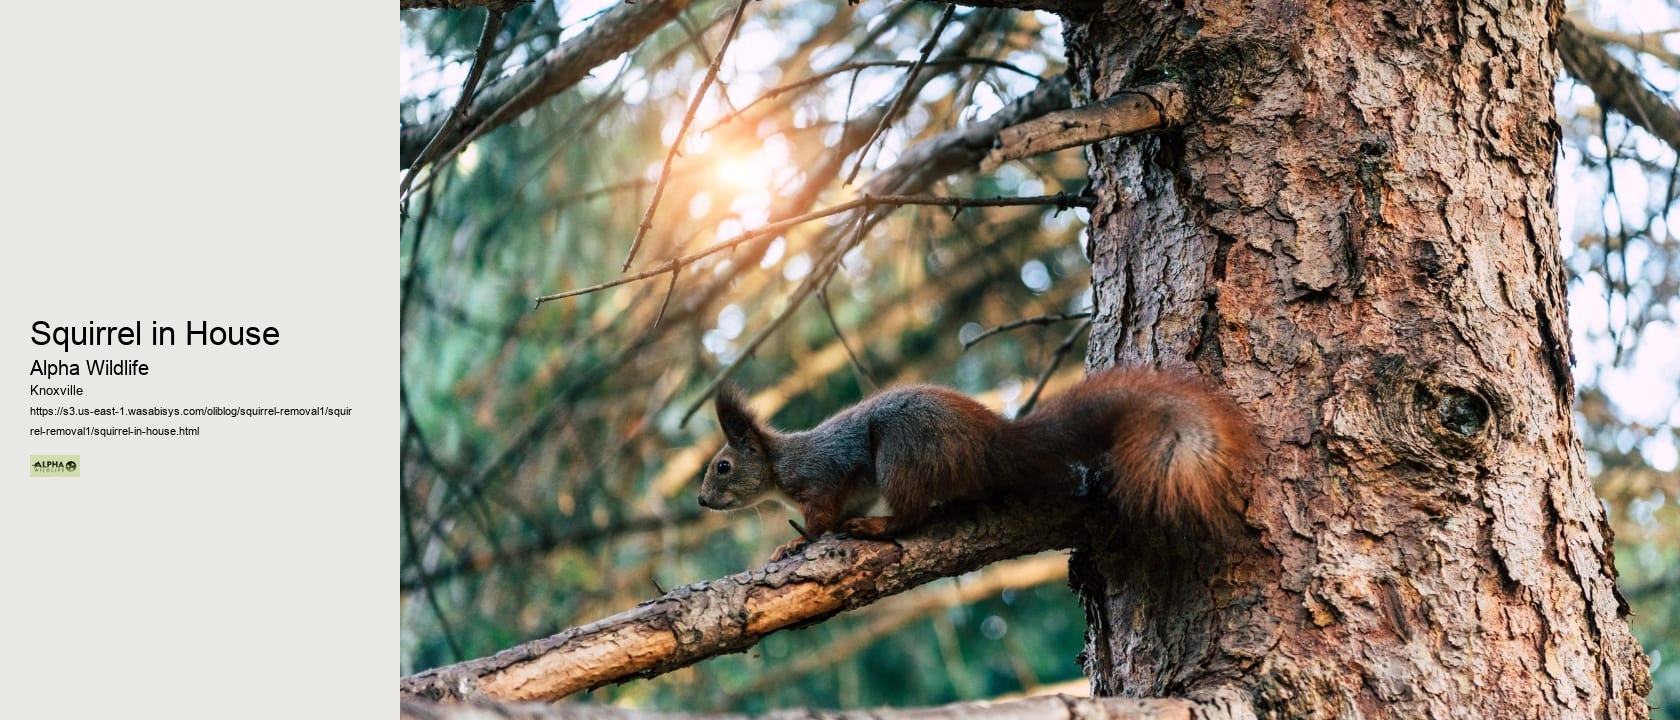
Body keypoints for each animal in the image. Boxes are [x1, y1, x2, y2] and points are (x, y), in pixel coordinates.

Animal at [697, 367, 1255, 557]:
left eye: (722, 467)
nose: (701, 501)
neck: (777, 465)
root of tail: (993, 442)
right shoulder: (853, 489)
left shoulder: (820, 479)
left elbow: (820, 519)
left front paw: (794, 543)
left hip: (904, 452)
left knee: (912, 514)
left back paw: (878, 529)